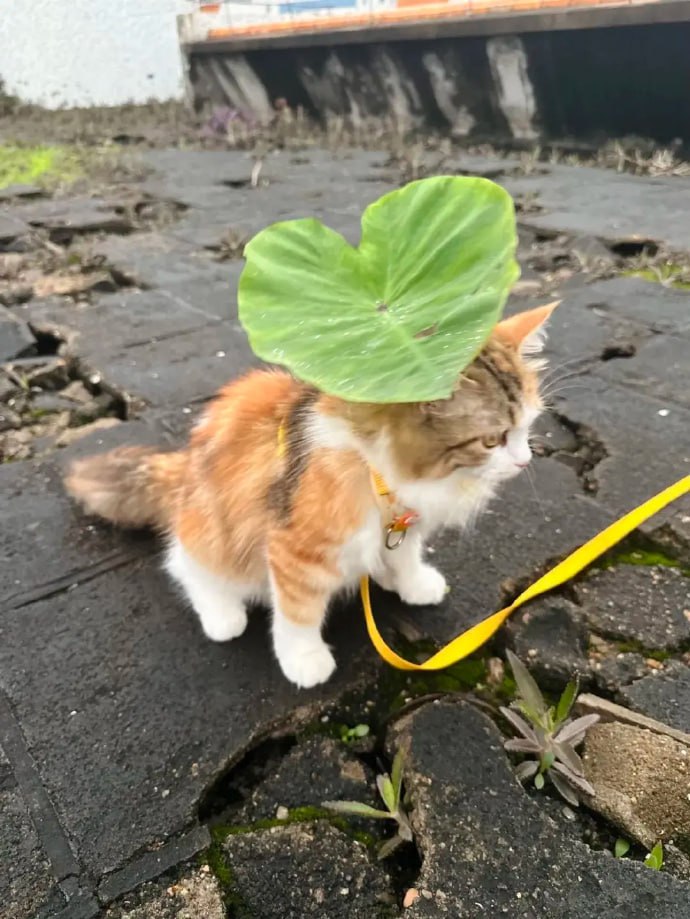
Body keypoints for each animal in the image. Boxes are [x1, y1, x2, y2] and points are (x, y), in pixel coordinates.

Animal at [64, 306, 552, 688]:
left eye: (529, 426)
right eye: (492, 440)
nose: (526, 461)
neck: (374, 468)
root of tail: (183, 469)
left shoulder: (402, 523)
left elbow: (404, 556)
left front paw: (410, 582)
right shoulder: (294, 550)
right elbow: (298, 615)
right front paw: (304, 659)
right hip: (212, 536)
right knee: (186, 566)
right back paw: (222, 615)